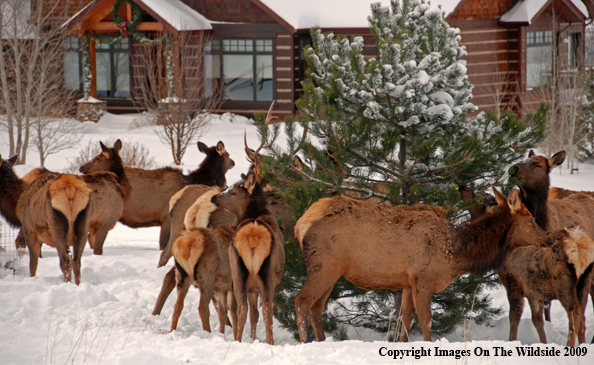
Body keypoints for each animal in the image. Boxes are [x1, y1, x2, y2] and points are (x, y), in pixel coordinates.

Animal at [0, 154, 90, 282]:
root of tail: (70, 190)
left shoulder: (29, 228)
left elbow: (32, 262)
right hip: (82, 227)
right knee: (76, 262)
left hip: (58, 229)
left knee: (66, 262)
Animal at [168, 188, 237, 332]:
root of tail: (185, 247)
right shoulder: (233, 283)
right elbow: (234, 312)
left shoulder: (222, 287)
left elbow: (223, 311)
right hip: (206, 276)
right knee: (202, 308)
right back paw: (208, 332)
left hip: (182, 276)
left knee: (177, 306)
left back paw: (172, 330)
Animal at [209, 173, 284, 344]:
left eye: (233, 192)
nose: (213, 197)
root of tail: (253, 235)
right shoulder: (256, 287)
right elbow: (255, 314)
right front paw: (253, 337)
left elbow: (252, 313)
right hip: (265, 277)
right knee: (265, 310)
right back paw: (269, 342)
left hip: (239, 275)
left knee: (242, 308)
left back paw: (239, 340)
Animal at [294, 188, 548, 342]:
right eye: (531, 219)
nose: (548, 239)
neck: (456, 254)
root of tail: (301, 223)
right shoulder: (423, 277)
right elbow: (426, 319)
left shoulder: (408, 282)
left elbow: (406, 319)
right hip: (325, 263)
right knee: (302, 300)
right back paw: (305, 342)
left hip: (333, 270)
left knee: (317, 306)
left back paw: (321, 341)